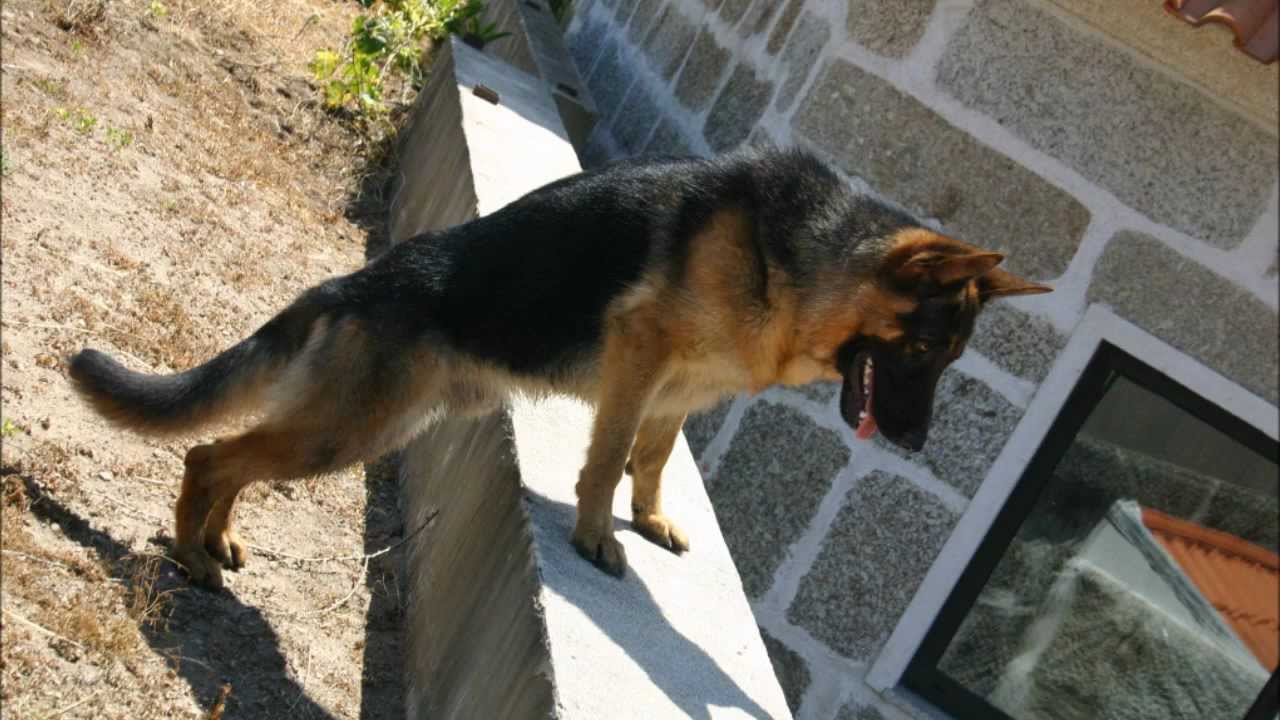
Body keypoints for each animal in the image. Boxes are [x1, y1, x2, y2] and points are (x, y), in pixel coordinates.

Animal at [67, 146, 1049, 584]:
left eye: (950, 360)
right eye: (919, 352)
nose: (915, 446)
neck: (799, 258)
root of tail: (352, 282)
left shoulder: (682, 392)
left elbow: (649, 463)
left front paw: (646, 522)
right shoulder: (640, 363)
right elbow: (607, 460)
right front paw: (594, 537)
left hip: (358, 426)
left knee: (235, 457)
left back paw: (217, 541)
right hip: (347, 430)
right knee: (210, 454)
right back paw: (192, 554)